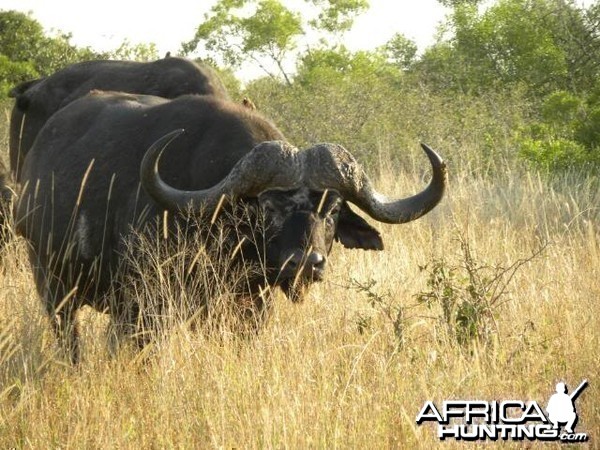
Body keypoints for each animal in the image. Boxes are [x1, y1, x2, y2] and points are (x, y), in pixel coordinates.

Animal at [15, 91, 446, 362]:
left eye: (334, 207)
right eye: (268, 206)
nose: (306, 263)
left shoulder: (249, 308)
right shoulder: (143, 307)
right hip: (53, 286)